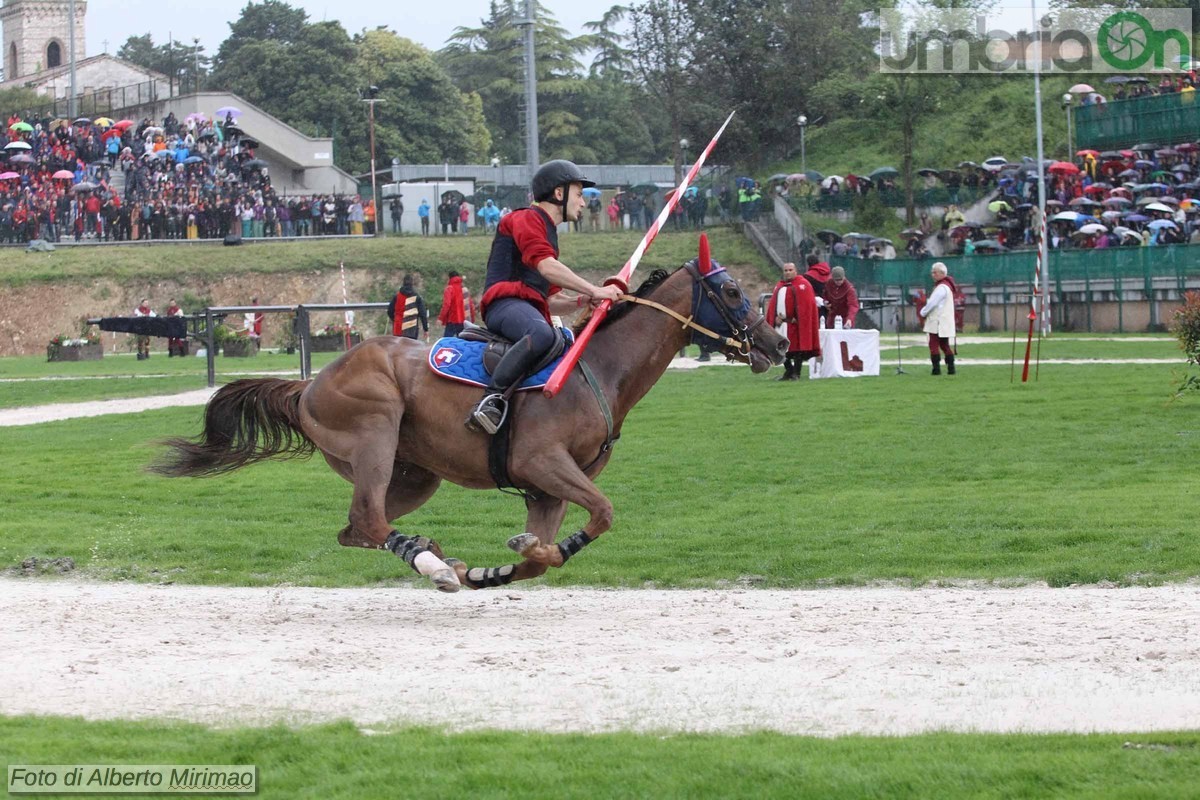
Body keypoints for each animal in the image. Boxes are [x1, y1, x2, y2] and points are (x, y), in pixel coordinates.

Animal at [154, 247, 787, 592]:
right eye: (734, 290)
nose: (777, 344)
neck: (599, 370)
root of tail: (310, 383)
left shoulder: (547, 488)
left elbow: (539, 559)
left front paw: (500, 569)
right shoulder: (544, 463)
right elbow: (604, 513)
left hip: (415, 474)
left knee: (356, 528)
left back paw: (436, 556)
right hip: (375, 431)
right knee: (367, 518)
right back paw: (433, 564)